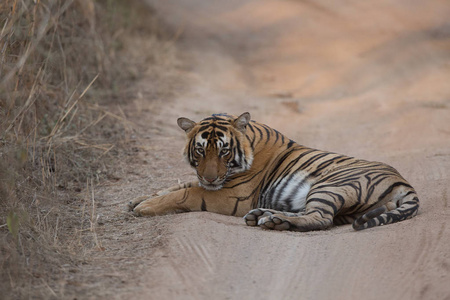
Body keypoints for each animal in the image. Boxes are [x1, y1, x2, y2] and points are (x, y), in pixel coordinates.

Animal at [128, 112, 420, 232]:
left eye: (224, 151)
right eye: (200, 151)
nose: (211, 178)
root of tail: (404, 183)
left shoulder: (232, 196)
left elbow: (186, 193)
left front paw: (145, 207)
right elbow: (179, 185)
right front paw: (137, 200)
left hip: (331, 185)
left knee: (321, 218)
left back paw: (275, 222)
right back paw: (265, 216)